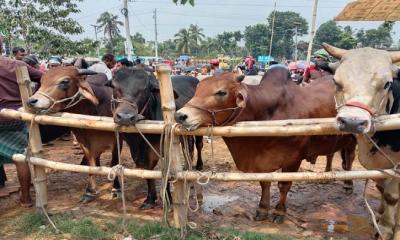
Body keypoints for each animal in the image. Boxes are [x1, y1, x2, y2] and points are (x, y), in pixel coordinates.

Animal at [26, 66, 119, 202]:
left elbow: (115, 164)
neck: (93, 110)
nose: (31, 101)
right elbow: (91, 165)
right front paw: (90, 191)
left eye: (65, 81)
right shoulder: (84, 143)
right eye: (42, 81)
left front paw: (117, 189)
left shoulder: (117, 141)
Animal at [175, 67, 356, 223]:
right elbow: (264, 183)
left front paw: (279, 212)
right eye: (197, 89)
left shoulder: (293, 160)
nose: (180, 115)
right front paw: (262, 209)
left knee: (350, 158)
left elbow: (284, 185)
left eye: (221, 92)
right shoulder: (262, 162)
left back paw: (348, 184)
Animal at [322, 42, 400, 239]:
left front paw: (387, 228)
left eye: (387, 84)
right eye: (336, 81)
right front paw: (380, 218)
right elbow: (383, 190)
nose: (352, 122)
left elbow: (392, 196)